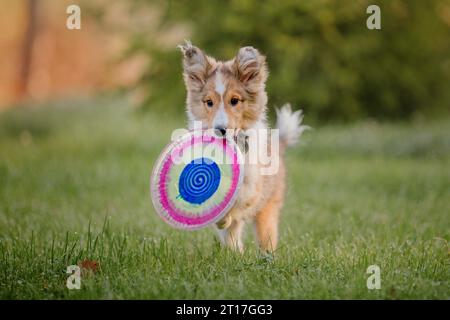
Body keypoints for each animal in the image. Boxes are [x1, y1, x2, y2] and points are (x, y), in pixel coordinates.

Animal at [178, 40, 308, 252]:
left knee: (265, 237)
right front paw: (220, 219)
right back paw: (234, 251)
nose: (220, 130)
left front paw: (224, 217)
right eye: (209, 102)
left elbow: (238, 200)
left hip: (268, 209)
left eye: (234, 100)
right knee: (232, 235)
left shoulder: (252, 185)